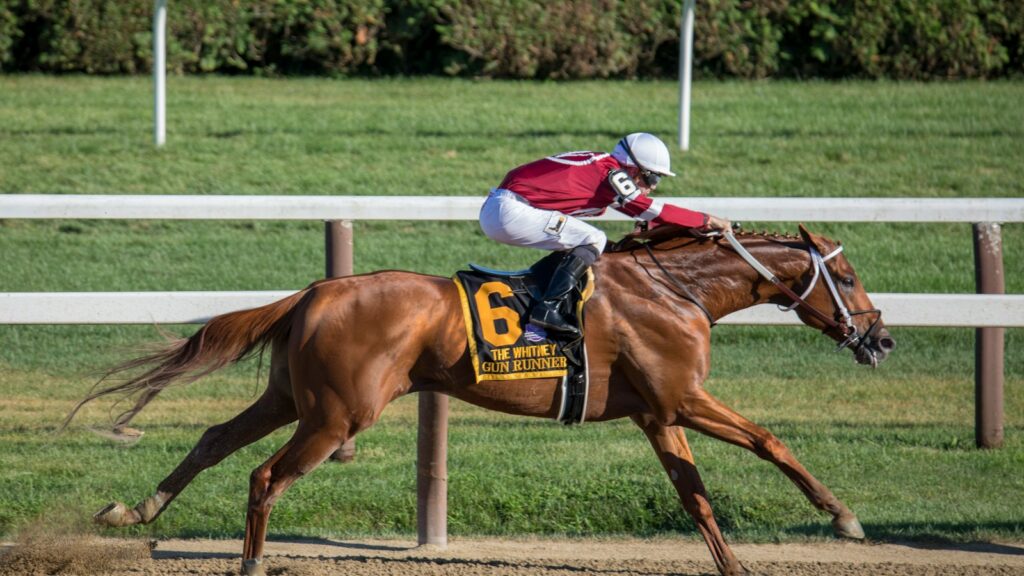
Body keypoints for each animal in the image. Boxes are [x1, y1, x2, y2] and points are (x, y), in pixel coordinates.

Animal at [69, 224, 895, 576]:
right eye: (850, 278)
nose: (881, 338)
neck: (677, 289)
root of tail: (314, 292)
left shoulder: (659, 413)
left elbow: (696, 499)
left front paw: (738, 565)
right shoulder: (684, 399)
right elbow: (770, 441)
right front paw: (844, 517)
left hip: (292, 399)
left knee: (214, 438)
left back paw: (132, 510)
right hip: (338, 414)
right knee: (265, 476)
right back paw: (249, 565)